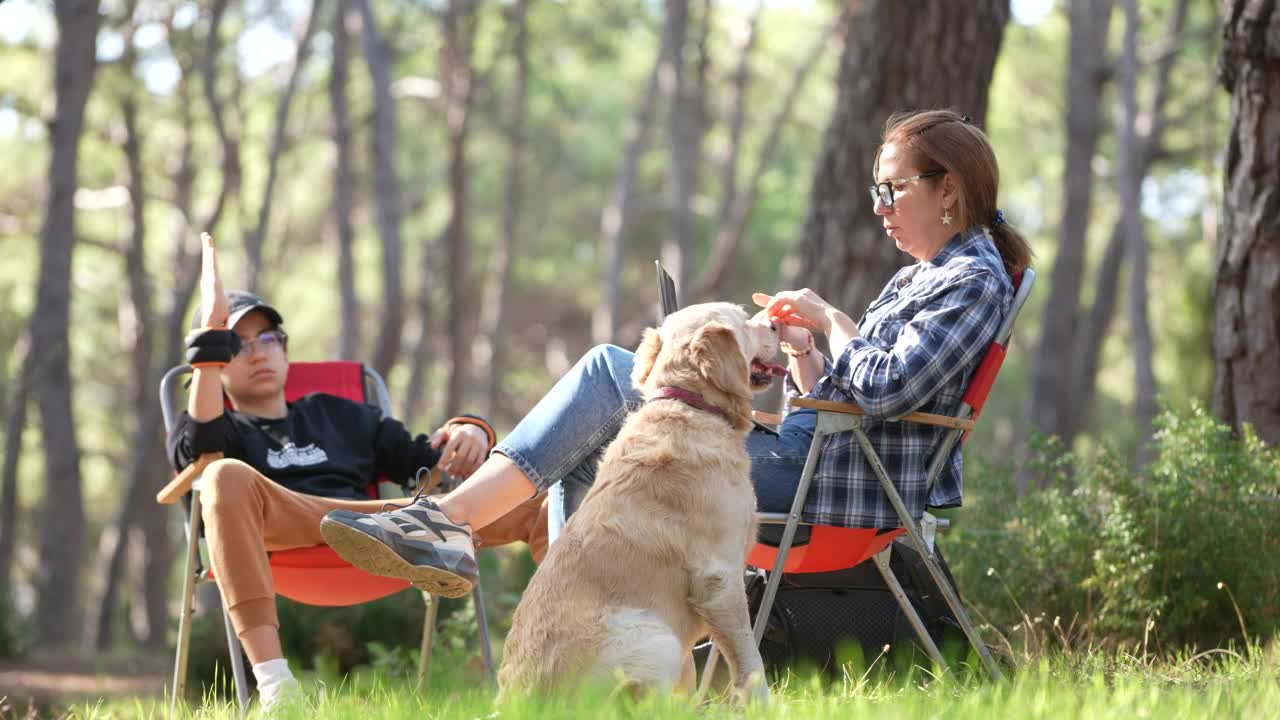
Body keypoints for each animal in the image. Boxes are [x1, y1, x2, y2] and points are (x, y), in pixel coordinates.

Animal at [496, 301, 778, 702]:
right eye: (744, 320)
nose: (775, 323)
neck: (690, 405)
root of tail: (516, 699)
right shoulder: (719, 578)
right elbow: (750, 661)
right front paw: (764, 705)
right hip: (656, 637)